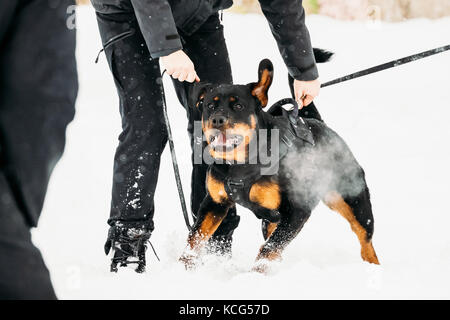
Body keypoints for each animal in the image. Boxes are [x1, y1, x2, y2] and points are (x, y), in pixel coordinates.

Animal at [181, 55, 378, 270]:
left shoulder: (297, 210)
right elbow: (195, 237)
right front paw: (183, 266)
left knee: (365, 238)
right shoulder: (214, 203)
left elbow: (269, 249)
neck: (239, 165)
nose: (217, 120)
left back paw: (374, 267)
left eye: (238, 106)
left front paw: (255, 273)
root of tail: (321, 125)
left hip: (353, 198)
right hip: (271, 220)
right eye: (210, 106)